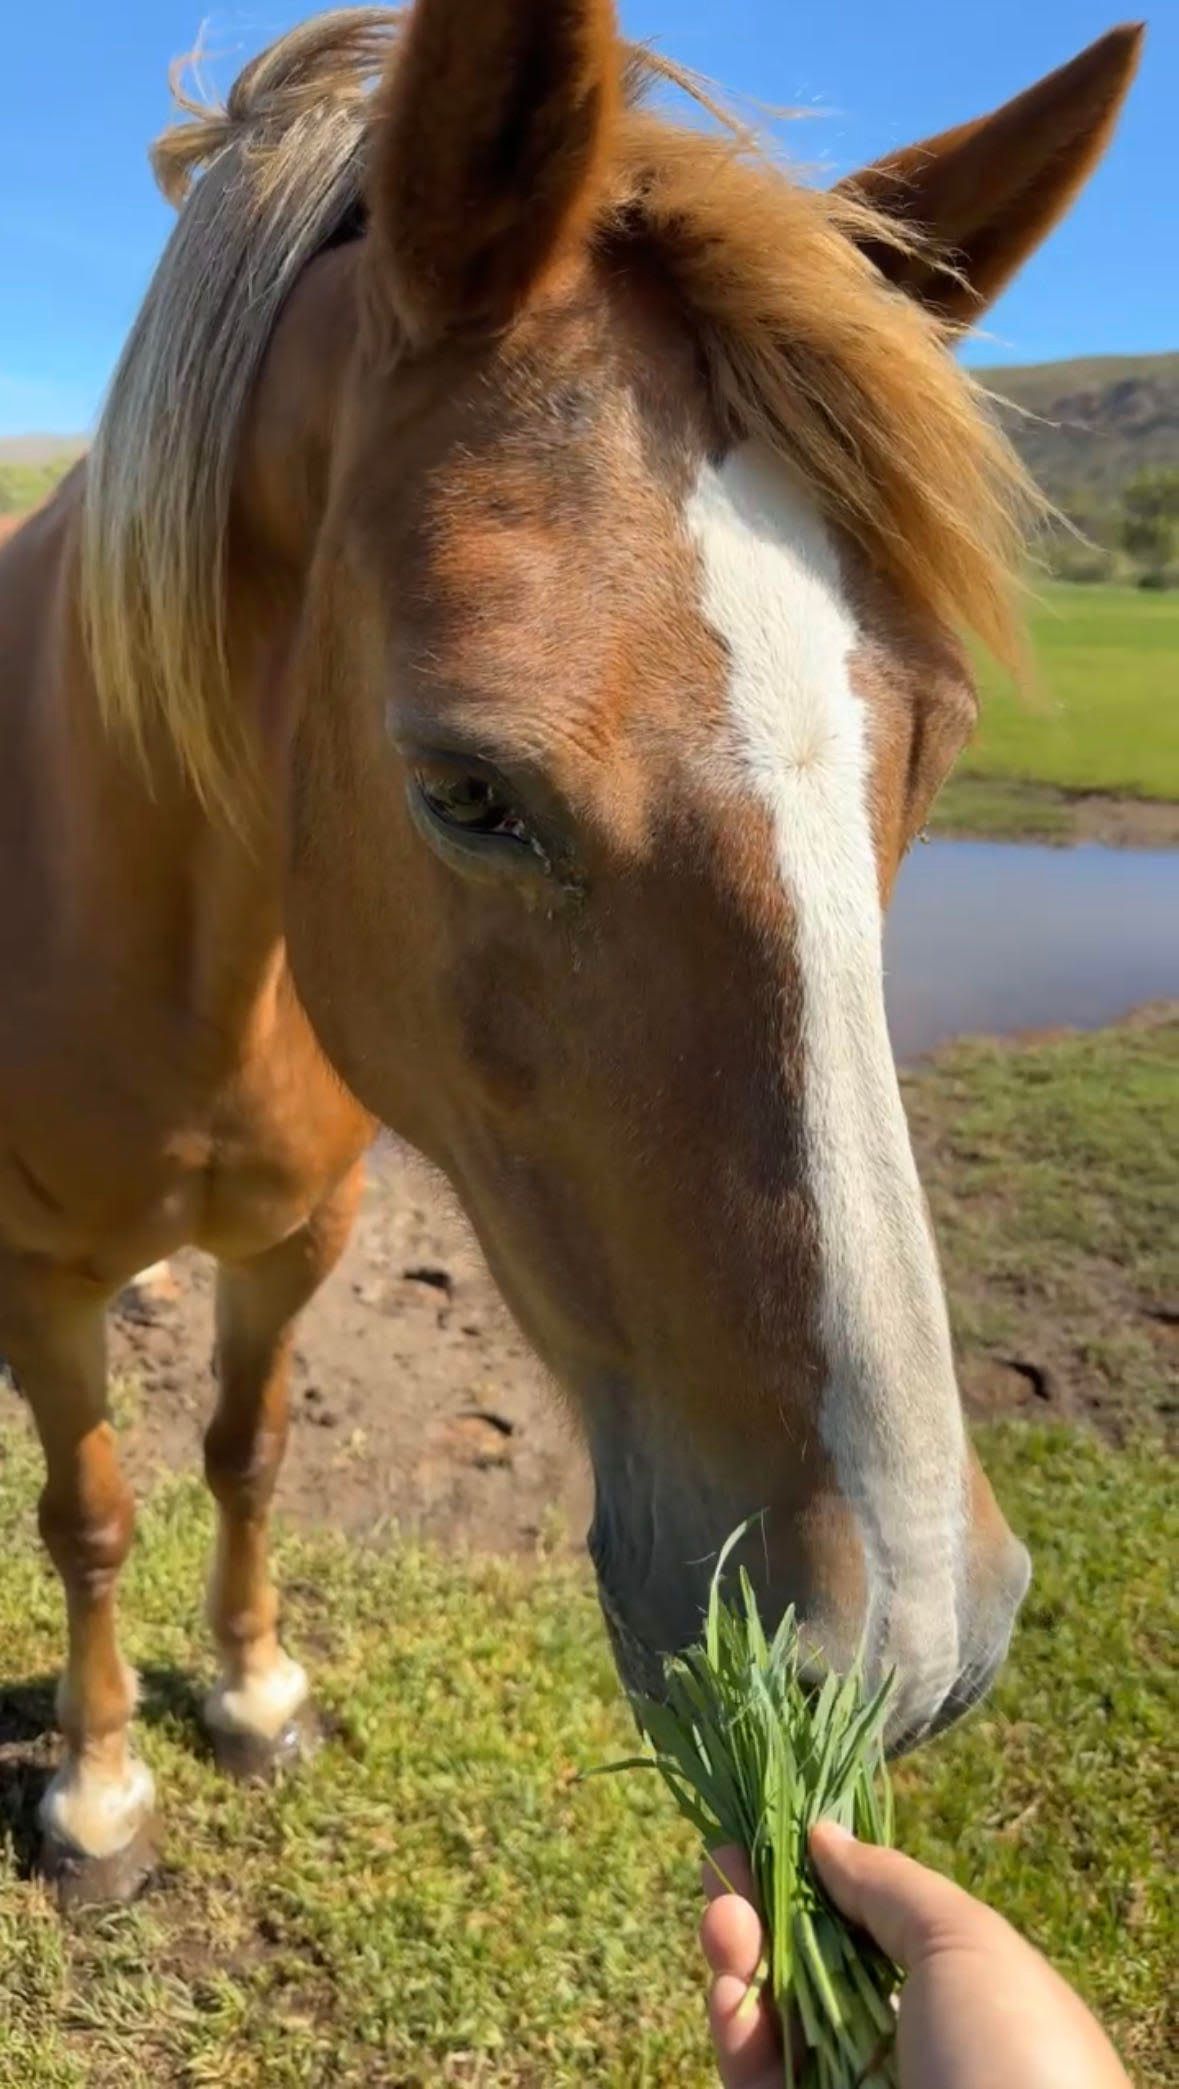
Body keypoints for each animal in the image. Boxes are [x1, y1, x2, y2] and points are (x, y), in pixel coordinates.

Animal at [0, 1, 1141, 1907]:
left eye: (933, 744)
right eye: (464, 788)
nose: (900, 1640)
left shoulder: (302, 1234)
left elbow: (247, 1448)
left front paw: (250, 1689)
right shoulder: (36, 1269)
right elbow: (88, 1511)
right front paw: (99, 1789)